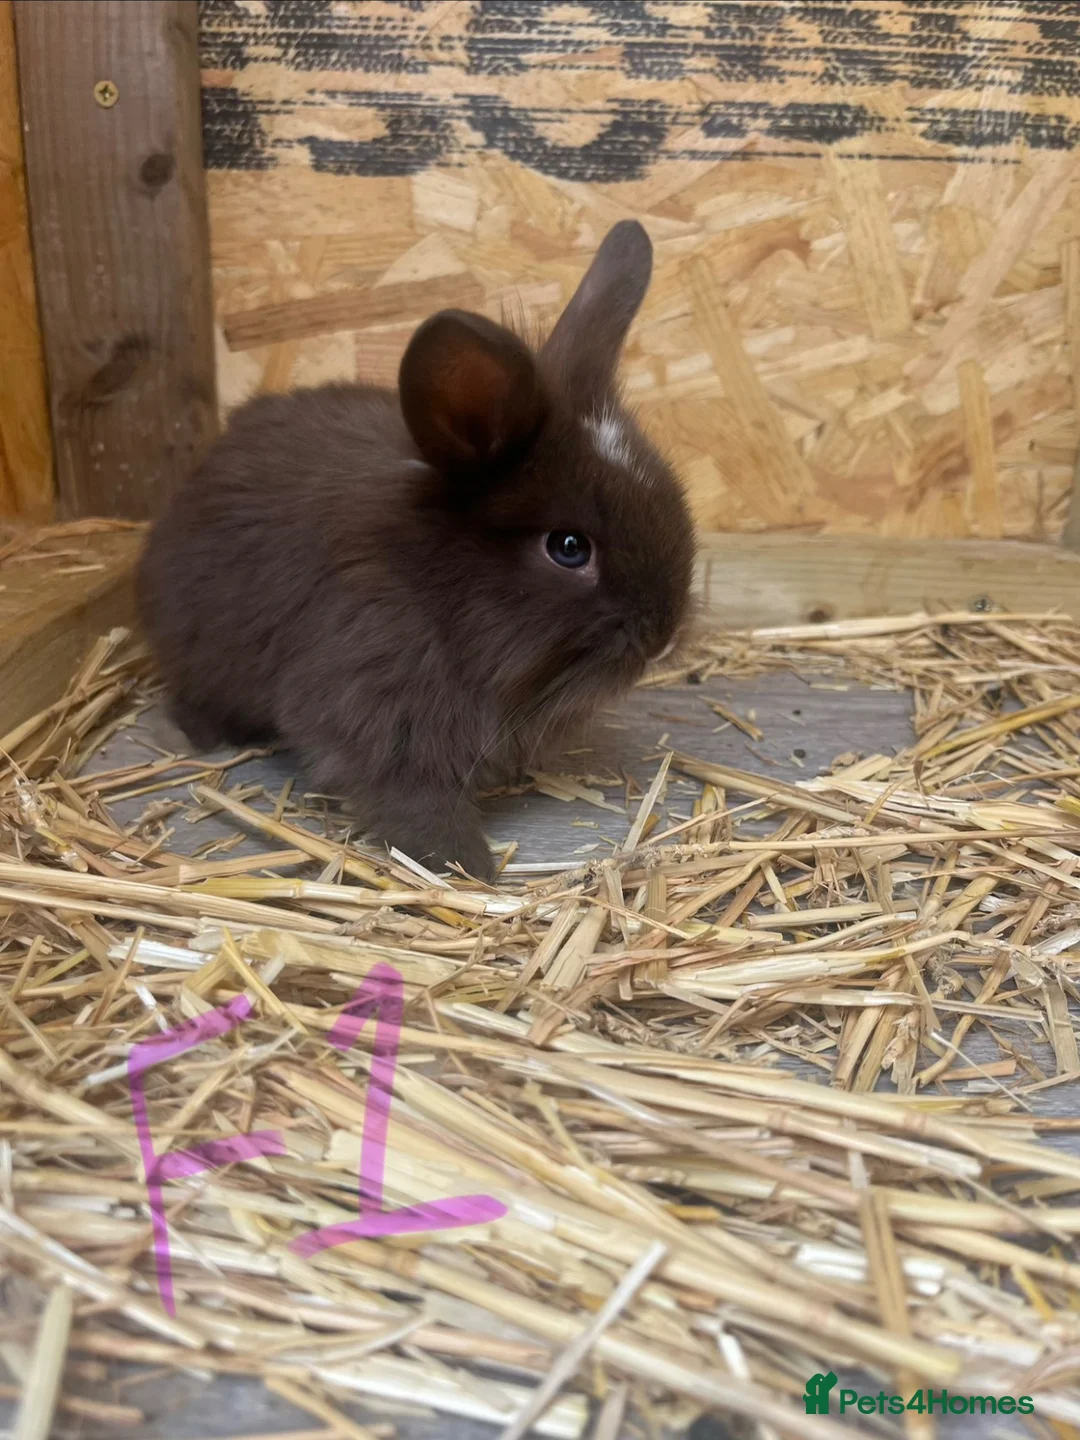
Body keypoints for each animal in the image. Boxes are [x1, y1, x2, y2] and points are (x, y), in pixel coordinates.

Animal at [138, 220, 695, 881]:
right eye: (567, 547)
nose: (663, 635)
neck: (436, 589)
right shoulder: (379, 712)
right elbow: (415, 803)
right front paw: (468, 869)